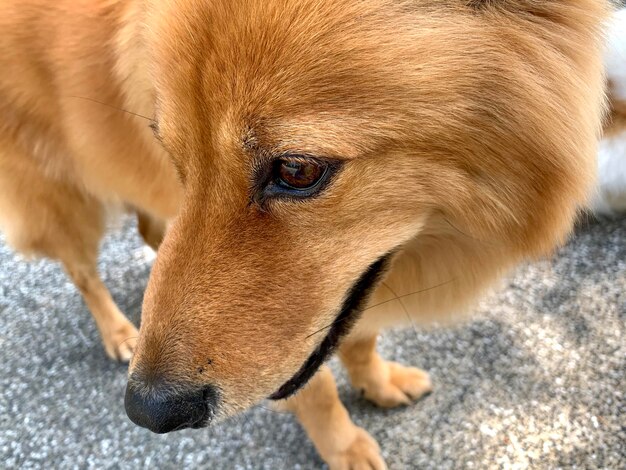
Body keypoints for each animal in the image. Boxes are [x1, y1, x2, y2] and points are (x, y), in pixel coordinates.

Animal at [0, 0, 616, 470]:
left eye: (297, 170)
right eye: (177, 157)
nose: (147, 411)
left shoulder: (352, 284)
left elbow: (357, 339)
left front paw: (378, 382)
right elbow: (315, 387)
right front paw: (344, 448)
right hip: (62, 198)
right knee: (82, 271)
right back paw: (119, 331)